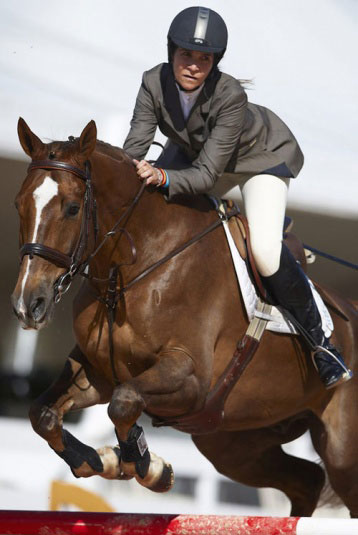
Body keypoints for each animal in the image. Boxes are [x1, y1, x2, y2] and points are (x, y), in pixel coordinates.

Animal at [11, 119, 358, 516]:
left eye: (71, 209)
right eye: (19, 204)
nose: (27, 304)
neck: (132, 268)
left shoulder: (190, 379)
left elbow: (124, 402)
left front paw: (146, 467)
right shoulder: (99, 374)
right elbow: (43, 414)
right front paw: (102, 460)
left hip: (341, 452)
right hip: (233, 441)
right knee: (306, 481)